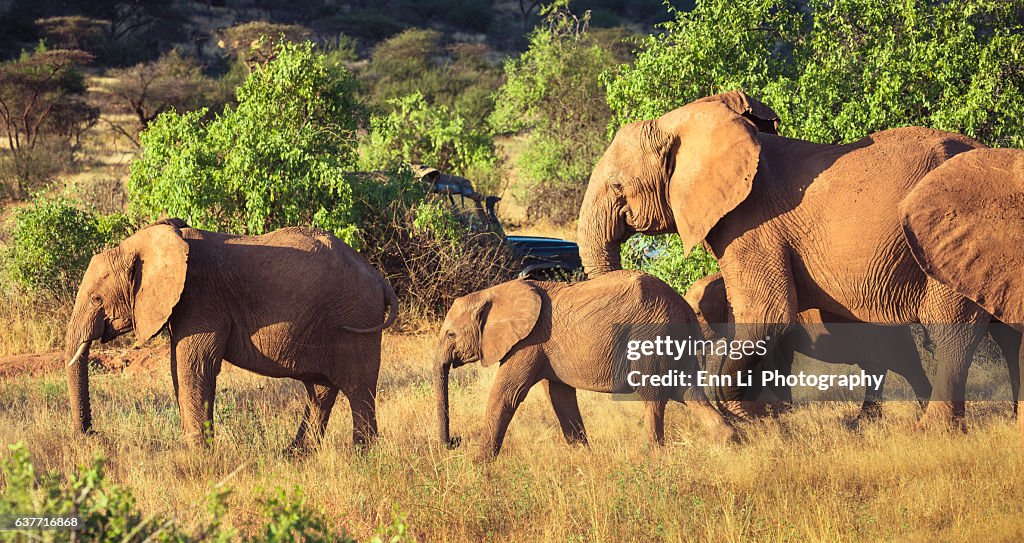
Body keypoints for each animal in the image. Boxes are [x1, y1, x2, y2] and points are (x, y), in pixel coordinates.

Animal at [65, 217, 395, 450]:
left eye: (96, 299)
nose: (93, 435)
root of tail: (380, 278)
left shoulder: (201, 297)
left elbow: (194, 366)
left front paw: (199, 456)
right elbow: (178, 369)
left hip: (355, 320)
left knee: (358, 389)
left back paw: (361, 456)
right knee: (321, 390)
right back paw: (294, 454)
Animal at [432, 268, 737, 458]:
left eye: (451, 334)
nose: (454, 441)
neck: (493, 293)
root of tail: (685, 308)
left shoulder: (528, 342)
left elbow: (506, 394)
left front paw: (478, 465)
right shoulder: (543, 347)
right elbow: (559, 396)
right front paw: (584, 458)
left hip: (651, 336)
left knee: (654, 396)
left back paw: (651, 455)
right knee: (688, 392)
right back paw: (730, 441)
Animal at [684, 270, 933, 418]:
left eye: (696, 313)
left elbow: (773, 360)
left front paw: (783, 413)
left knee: (905, 363)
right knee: (876, 368)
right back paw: (863, 421)